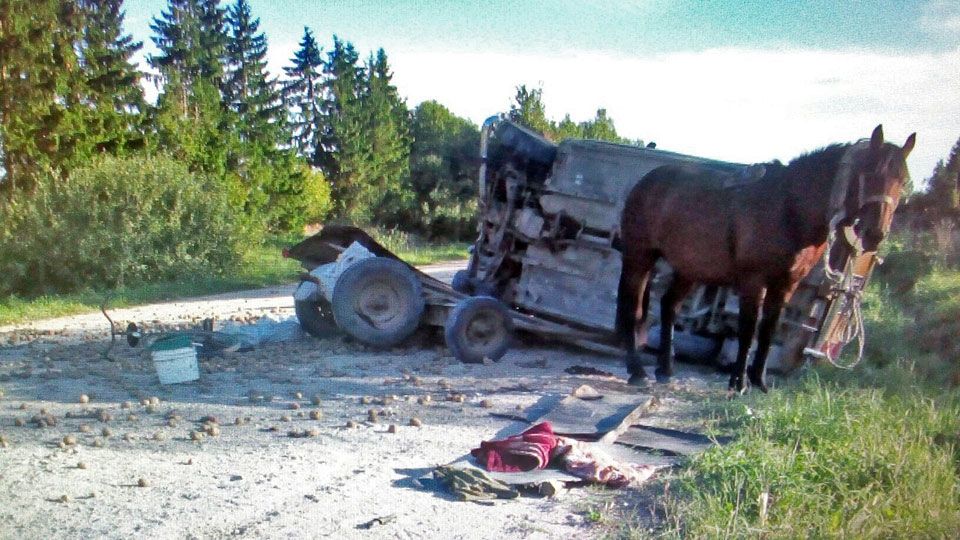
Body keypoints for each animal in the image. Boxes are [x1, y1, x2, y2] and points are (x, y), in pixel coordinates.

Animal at [616, 126, 916, 392]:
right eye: (870, 173)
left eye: (903, 182)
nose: (875, 234)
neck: (788, 209)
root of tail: (647, 182)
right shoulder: (754, 281)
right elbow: (749, 329)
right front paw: (739, 384)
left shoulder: (786, 284)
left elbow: (769, 330)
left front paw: (759, 382)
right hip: (639, 256)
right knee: (633, 309)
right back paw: (638, 372)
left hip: (689, 269)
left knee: (669, 306)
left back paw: (665, 369)